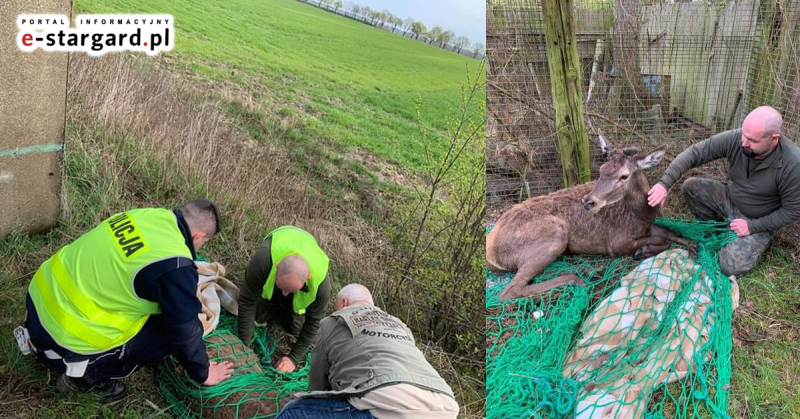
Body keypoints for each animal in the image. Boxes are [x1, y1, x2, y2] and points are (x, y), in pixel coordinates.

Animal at [484, 136, 696, 304]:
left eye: (624, 176)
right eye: (601, 169)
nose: (588, 201)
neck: (642, 214)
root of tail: (490, 253)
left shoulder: (645, 228)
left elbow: (668, 232)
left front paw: (692, 244)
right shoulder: (616, 243)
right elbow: (662, 239)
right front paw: (642, 251)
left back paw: (586, 271)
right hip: (556, 233)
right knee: (511, 290)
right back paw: (575, 278)